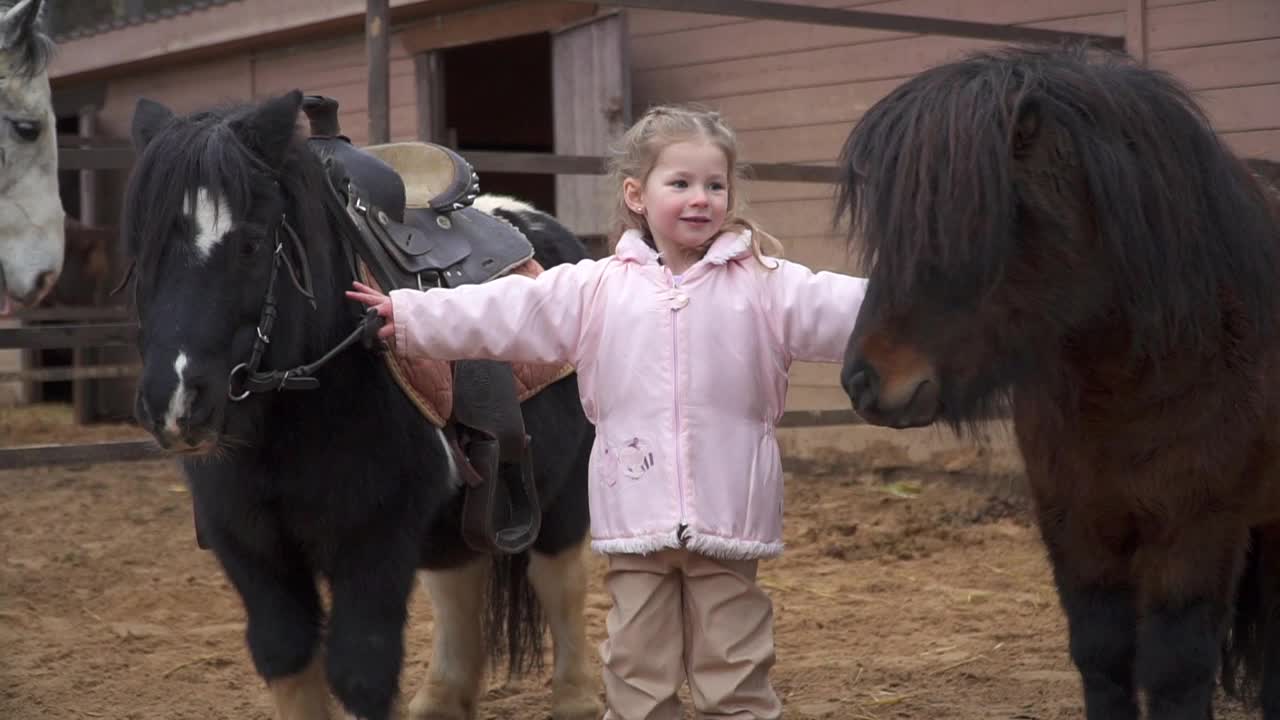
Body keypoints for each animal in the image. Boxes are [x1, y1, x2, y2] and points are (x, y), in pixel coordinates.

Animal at [122, 92, 596, 717]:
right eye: (142, 249)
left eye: (250, 243)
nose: (176, 403)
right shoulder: (248, 545)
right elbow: (287, 658)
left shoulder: (374, 543)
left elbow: (361, 672)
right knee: (458, 584)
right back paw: (441, 699)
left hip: (562, 493)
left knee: (561, 581)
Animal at [834, 46, 1280, 717]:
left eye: (974, 222)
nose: (864, 381)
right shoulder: (1076, 526)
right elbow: (1102, 656)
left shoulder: (1195, 530)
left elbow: (1176, 671)